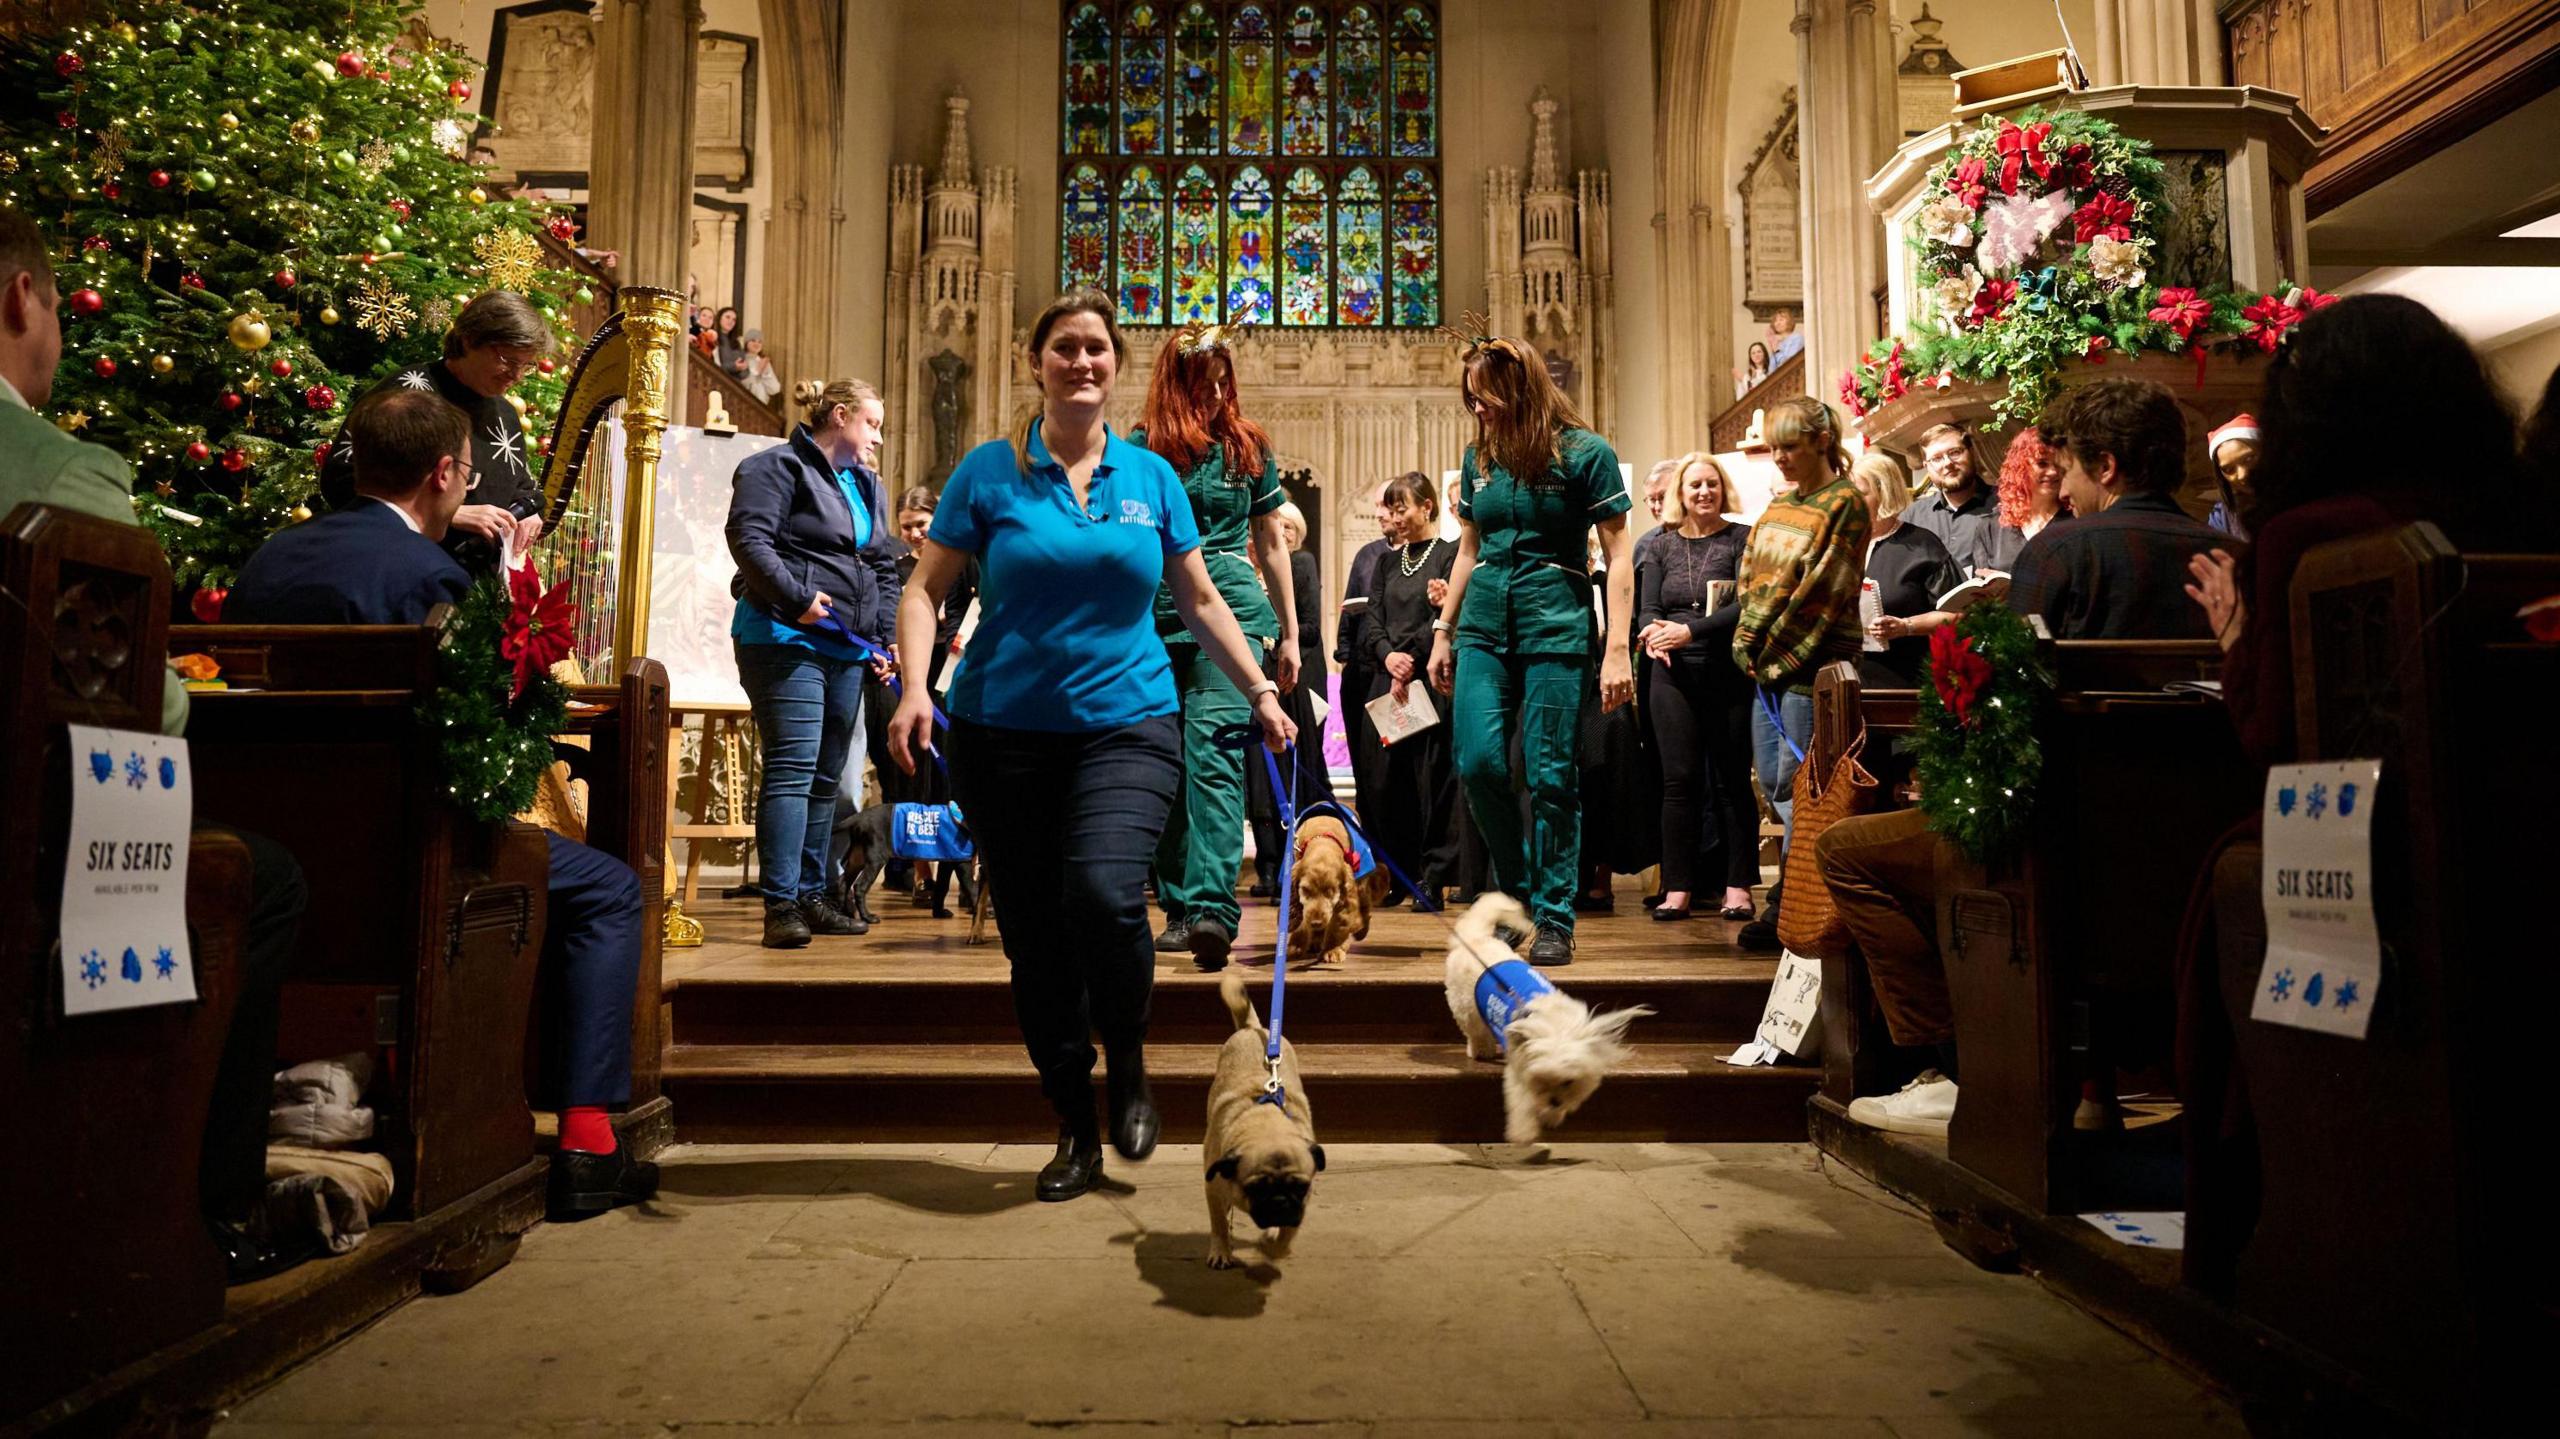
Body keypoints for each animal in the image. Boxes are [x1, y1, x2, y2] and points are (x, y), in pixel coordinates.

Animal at [834, 793, 972, 916]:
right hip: (875, 860)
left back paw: (845, 913)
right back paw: (867, 917)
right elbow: (972, 888)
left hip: (857, 858)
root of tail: (860, 816)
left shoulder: (949, 860)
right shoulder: (963, 862)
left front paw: (939, 913)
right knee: (859, 886)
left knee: (843, 882)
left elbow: (942, 887)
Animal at [1433, 891, 1648, 1136]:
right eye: (1541, 1080)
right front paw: (1523, 1133)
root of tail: (1476, 938)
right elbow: (1521, 1107)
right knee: (1476, 1033)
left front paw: (1553, 1116)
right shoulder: (1518, 1072)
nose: (1555, 1101)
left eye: (1568, 1081)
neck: (1557, 1024)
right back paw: (1481, 1051)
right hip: (1466, 1008)